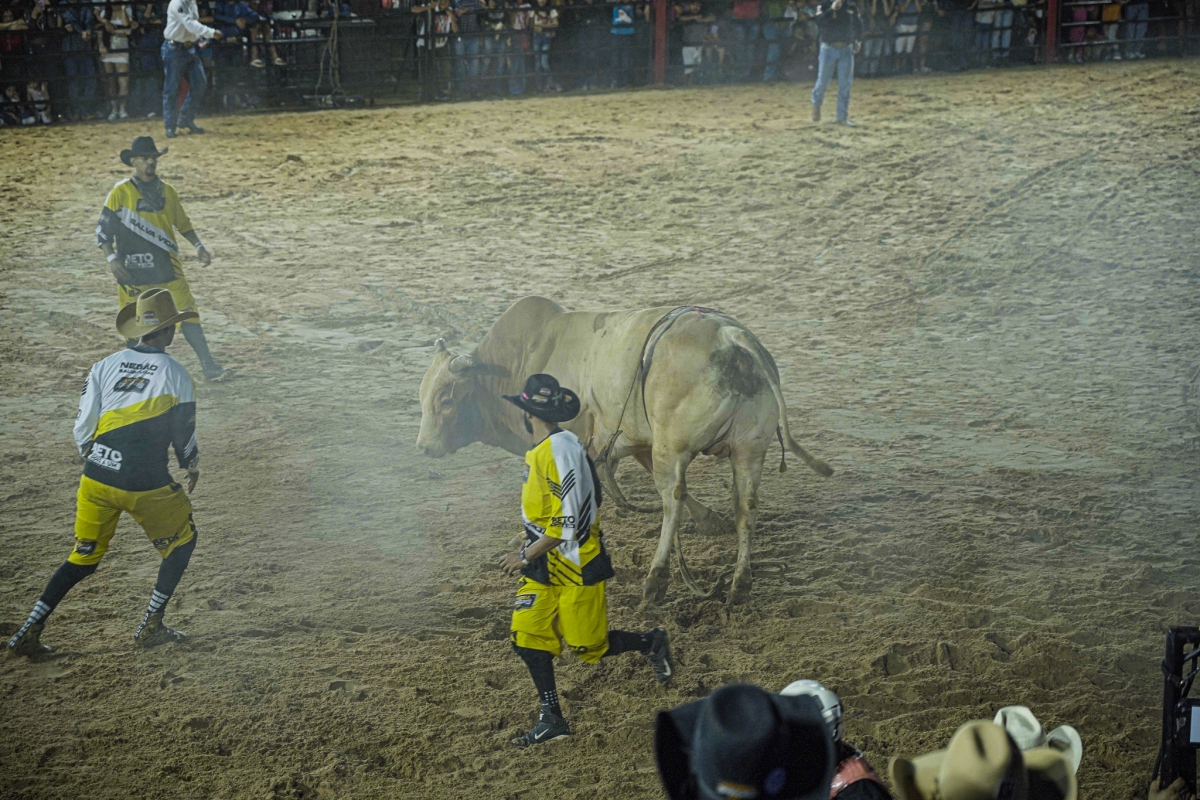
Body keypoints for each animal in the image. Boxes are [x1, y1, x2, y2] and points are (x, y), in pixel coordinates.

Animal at [416, 296, 832, 605]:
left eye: (446, 399)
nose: (423, 447)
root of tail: (732, 338)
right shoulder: (637, 440)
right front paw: (711, 521)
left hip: (674, 448)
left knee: (671, 501)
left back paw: (655, 581)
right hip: (748, 450)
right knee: (745, 506)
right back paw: (740, 583)